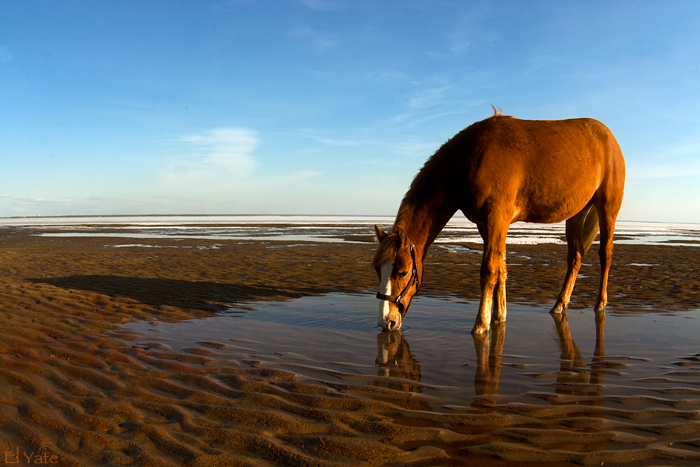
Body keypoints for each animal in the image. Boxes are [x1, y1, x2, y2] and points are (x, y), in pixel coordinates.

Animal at [374, 109, 628, 336]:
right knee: (575, 257)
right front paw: (499, 316)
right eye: (378, 270)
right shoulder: (486, 225)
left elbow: (489, 270)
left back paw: (600, 304)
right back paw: (559, 305)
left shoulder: (496, 218)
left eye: (403, 272)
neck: (469, 159)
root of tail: (609, 137)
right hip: (576, 213)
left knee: (605, 254)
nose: (387, 322)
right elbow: (501, 267)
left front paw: (481, 324)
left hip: (607, 208)